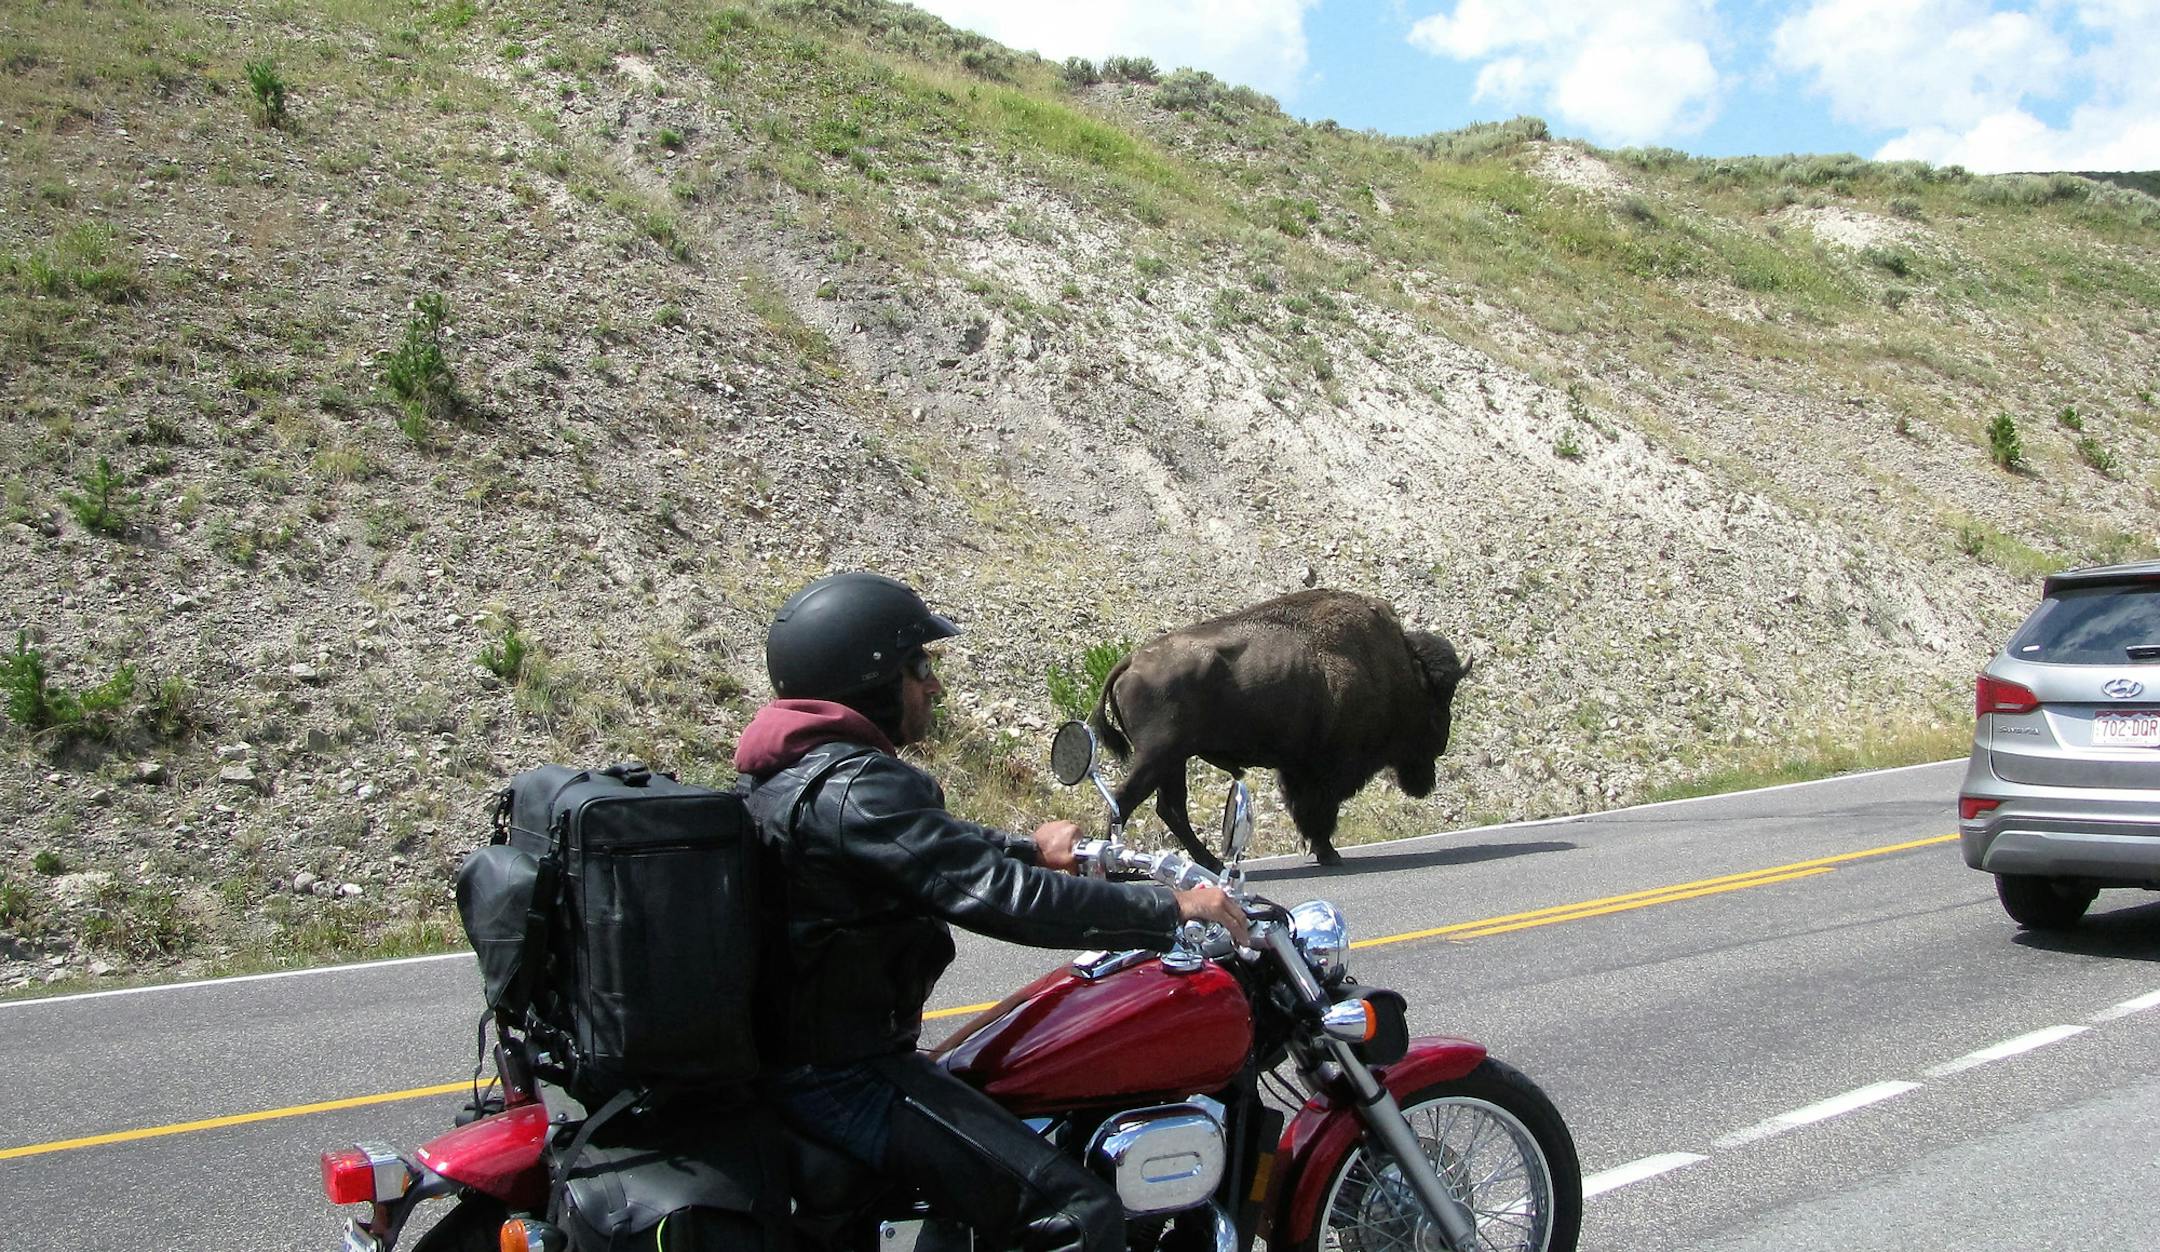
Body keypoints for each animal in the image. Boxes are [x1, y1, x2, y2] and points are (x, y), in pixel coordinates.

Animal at [1089, 590, 1471, 868]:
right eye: (1439, 699)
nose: (1442, 741)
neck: (1396, 672)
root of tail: (1131, 661)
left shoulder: (1297, 767)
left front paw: (1319, 850)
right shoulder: (1325, 771)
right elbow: (1319, 809)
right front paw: (1328, 853)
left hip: (1172, 761)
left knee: (1170, 809)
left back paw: (1210, 862)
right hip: (1158, 757)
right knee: (1128, 799)